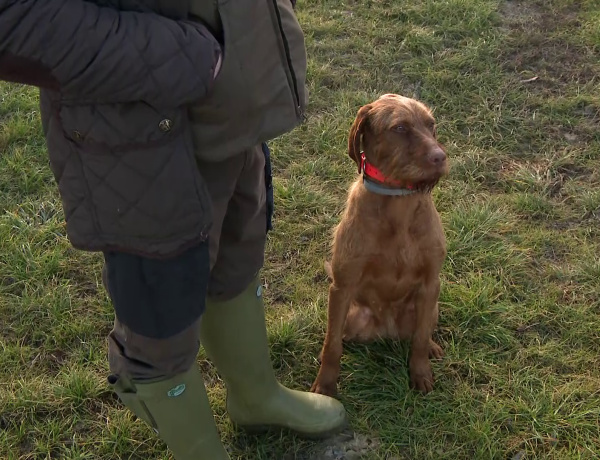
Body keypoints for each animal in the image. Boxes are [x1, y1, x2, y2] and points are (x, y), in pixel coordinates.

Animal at [312, 92, 448, 396]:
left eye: (431, 124)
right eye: (400, 128)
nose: (441, 157)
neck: (398, 205)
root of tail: (387, 329)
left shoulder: (431, 282)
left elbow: (420, 339)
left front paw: (420, 372)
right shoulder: (342, 287)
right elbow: (331, 345)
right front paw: (325, 386)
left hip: (431, 306)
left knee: (422, 333)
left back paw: (432, 348)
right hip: (351, 314)